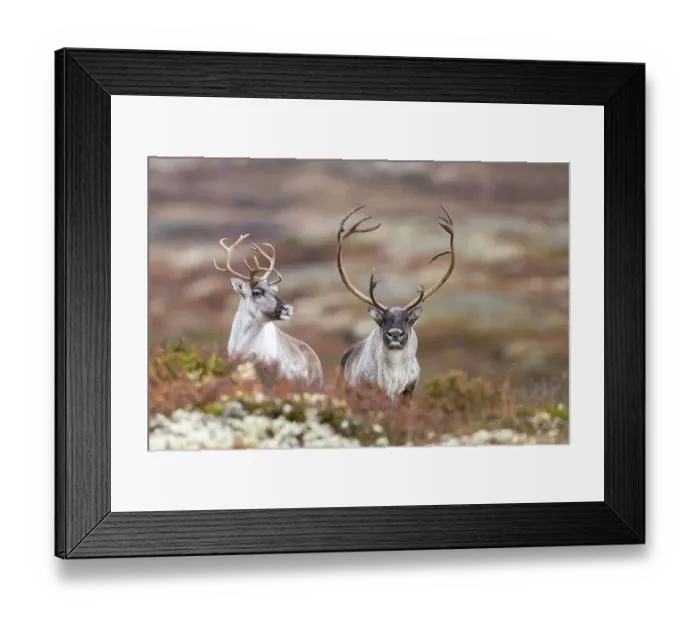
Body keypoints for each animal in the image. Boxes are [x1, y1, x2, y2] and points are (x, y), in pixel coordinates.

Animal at [336, 205, 455, 404]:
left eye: (407, 319)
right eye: (383, 320)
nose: (395, 334)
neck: (394, 378)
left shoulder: (408, 390)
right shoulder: (371, 391)